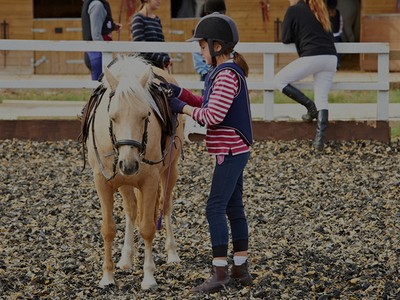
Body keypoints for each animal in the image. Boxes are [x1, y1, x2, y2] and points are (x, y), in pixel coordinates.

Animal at [79, 55, 184, 290]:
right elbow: (108, 229)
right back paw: (126, 258)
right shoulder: (102, 182)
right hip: (125, 183)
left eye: (145, 115)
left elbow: (147, 228)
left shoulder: (150, 181)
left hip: (170, 172)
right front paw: (107, 277)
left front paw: (149, 277)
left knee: (166, 206)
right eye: (112, 116)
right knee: (131, 211)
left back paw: (172, 253)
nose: (129, 164)